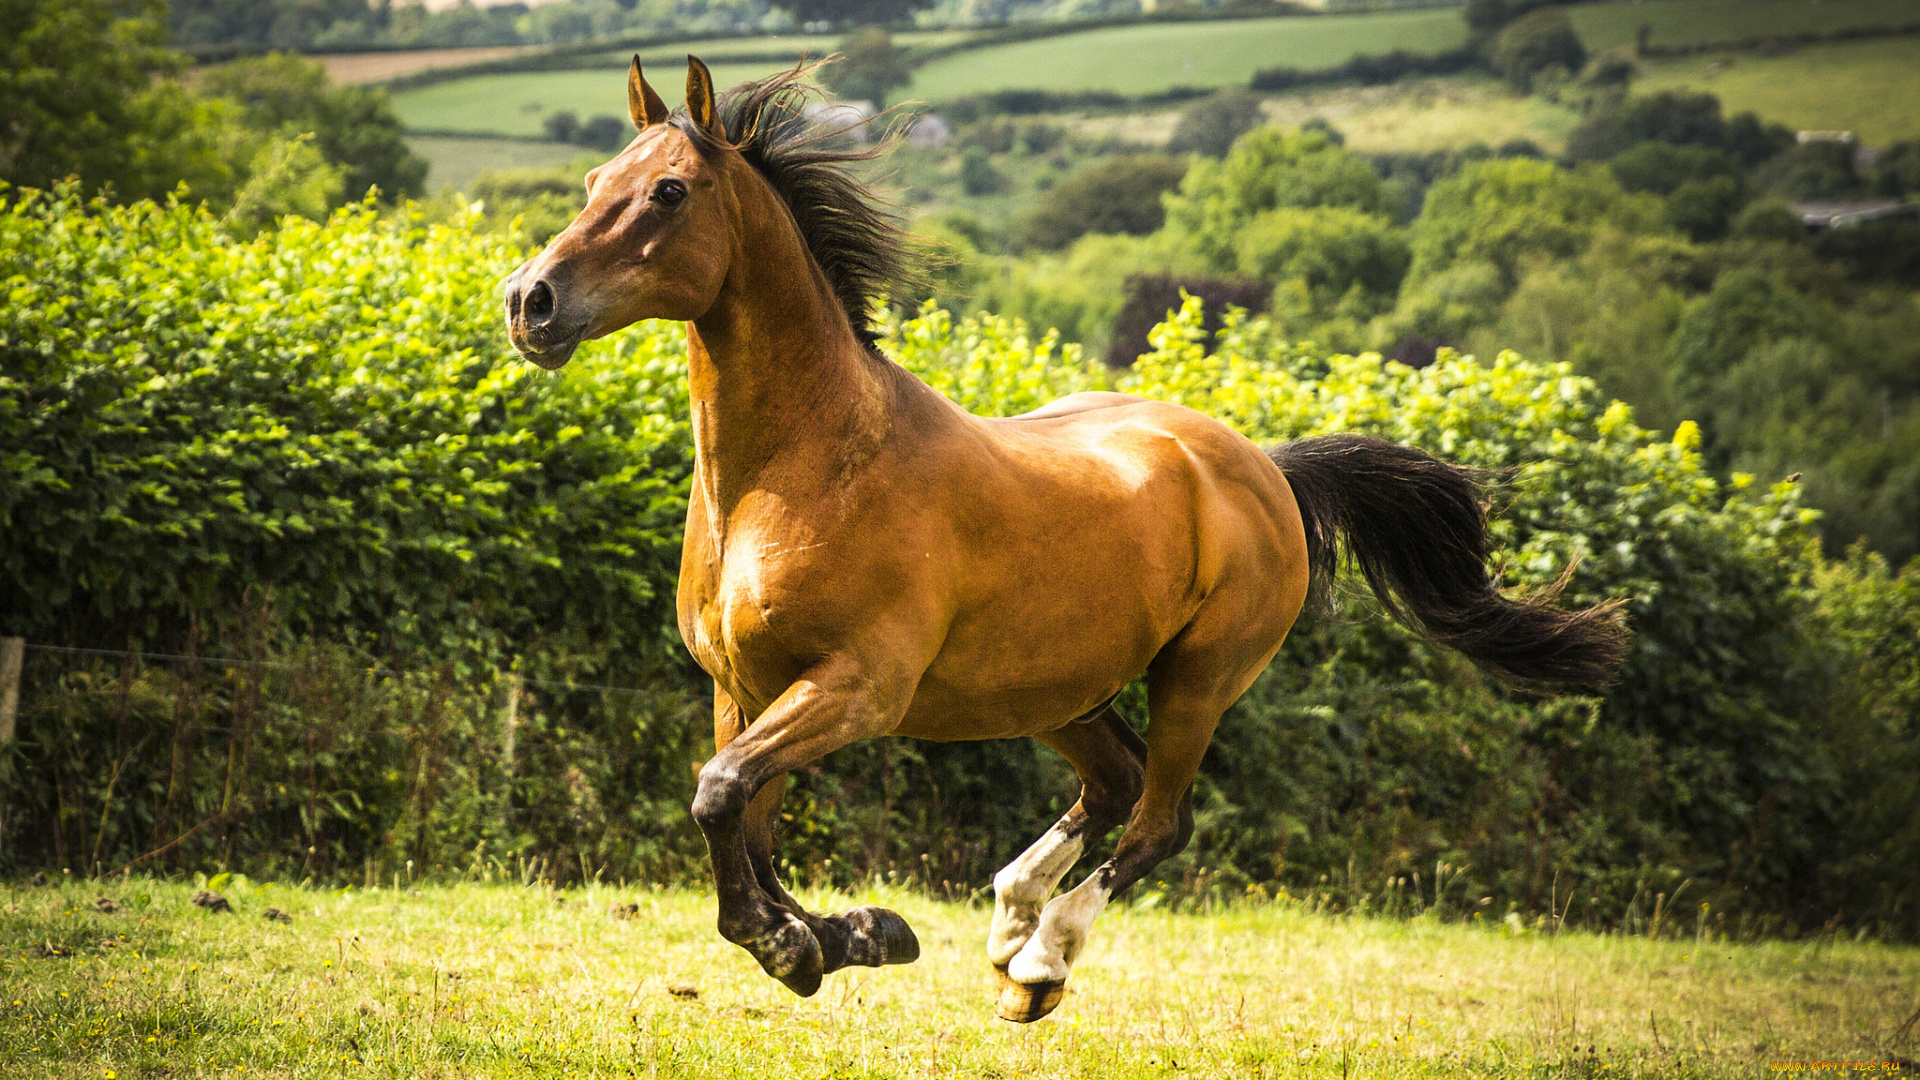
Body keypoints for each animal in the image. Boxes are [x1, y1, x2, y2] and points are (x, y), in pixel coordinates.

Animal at [503, 58, 1628, 1014]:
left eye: (669, 192)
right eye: (596, 178)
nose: (529, 300)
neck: (795, 473)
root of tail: (1263, 466)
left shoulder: (855, 689)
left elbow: (720, 799)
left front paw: (810, 945)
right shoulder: (743, 690)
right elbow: (742, 820)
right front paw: (850, 935)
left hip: (1197, 679)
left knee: (1159, 817)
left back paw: (1039, 961)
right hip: (1054, 687)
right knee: (1114, 780)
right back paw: (1008, 919)